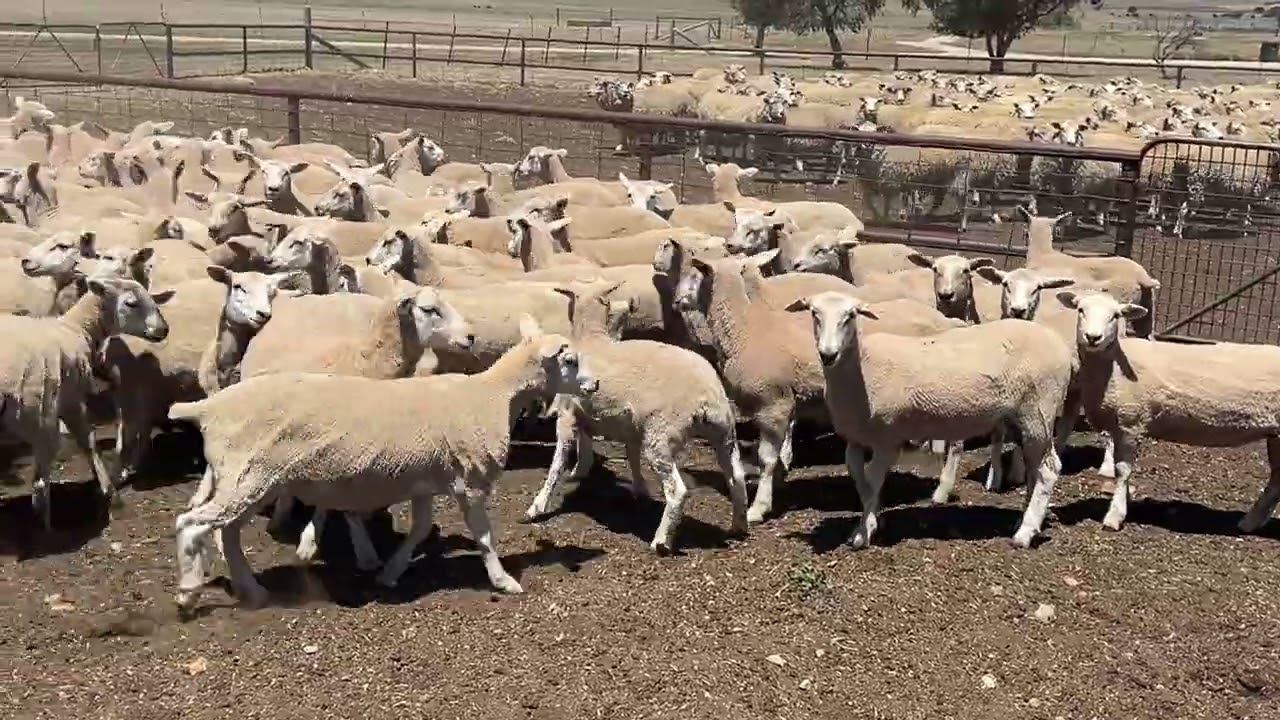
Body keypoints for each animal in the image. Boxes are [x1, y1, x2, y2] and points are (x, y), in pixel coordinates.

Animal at [1, 277, 171, 528]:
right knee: (42, 475)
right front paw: (110, 494)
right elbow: (88, 443)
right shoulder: (67, 402)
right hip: (32, 410)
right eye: (130, 303)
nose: (164, 329)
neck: (75, 330)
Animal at [169, 317, 596, 609]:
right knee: (191, 524)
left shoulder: (427, 480)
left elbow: (420, 529)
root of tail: (208, 408)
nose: (593, 386)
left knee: (227, 532)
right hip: (248, 477)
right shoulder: (471, 481)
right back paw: (189, 591)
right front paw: (503, 581)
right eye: (571, 361)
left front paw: (391, 572)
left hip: (248, 480)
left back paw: (253, 591)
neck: (493, 394)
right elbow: (485, 537)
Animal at [525, 280, 748, 552]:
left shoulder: (567, 415)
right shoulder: (629, 424)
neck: (592, 338)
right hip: (724, 431)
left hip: (662, 433)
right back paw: (739, 525)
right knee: (737, 477)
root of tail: (706, 393)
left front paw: (538, 505)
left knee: (677, 490)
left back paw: (661, 541)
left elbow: (557, 462)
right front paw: (638, 489)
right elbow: (629, 455)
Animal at [784, 291, 1075, 549]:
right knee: (1035, 466)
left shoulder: (887, 436)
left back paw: (1024, 534)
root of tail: (1058, 344)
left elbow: (874, 481)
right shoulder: (855, 438)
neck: (863, 368)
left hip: (1039, 410)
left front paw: (862, 533)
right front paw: (875, 520)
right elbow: (860, 479)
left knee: (1049, 469)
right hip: (1023, 419)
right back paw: (1027, 521)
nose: (828, 354)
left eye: (850, 316)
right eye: (814, 313)